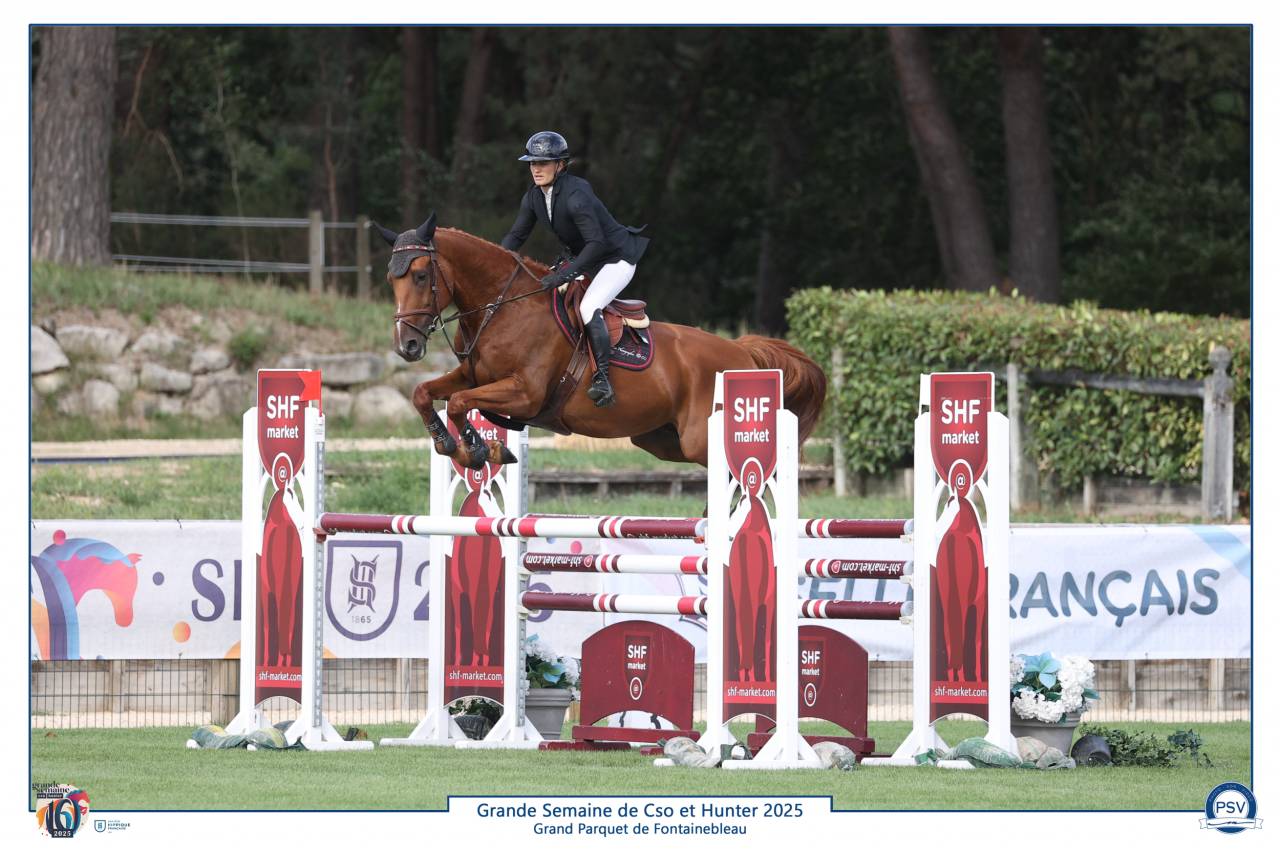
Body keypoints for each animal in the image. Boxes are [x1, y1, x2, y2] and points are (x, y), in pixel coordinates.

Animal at [377, 215, 827, 470]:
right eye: (390, 278)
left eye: (421, 275)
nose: (407, 346)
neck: (501, 308)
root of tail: (742, 351)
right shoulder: (473, 376)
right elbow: (424, 393)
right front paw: (454, 446)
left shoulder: (524, 394)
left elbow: (457, 403)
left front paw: (476, 451)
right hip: (662, 439)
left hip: (700, 437)